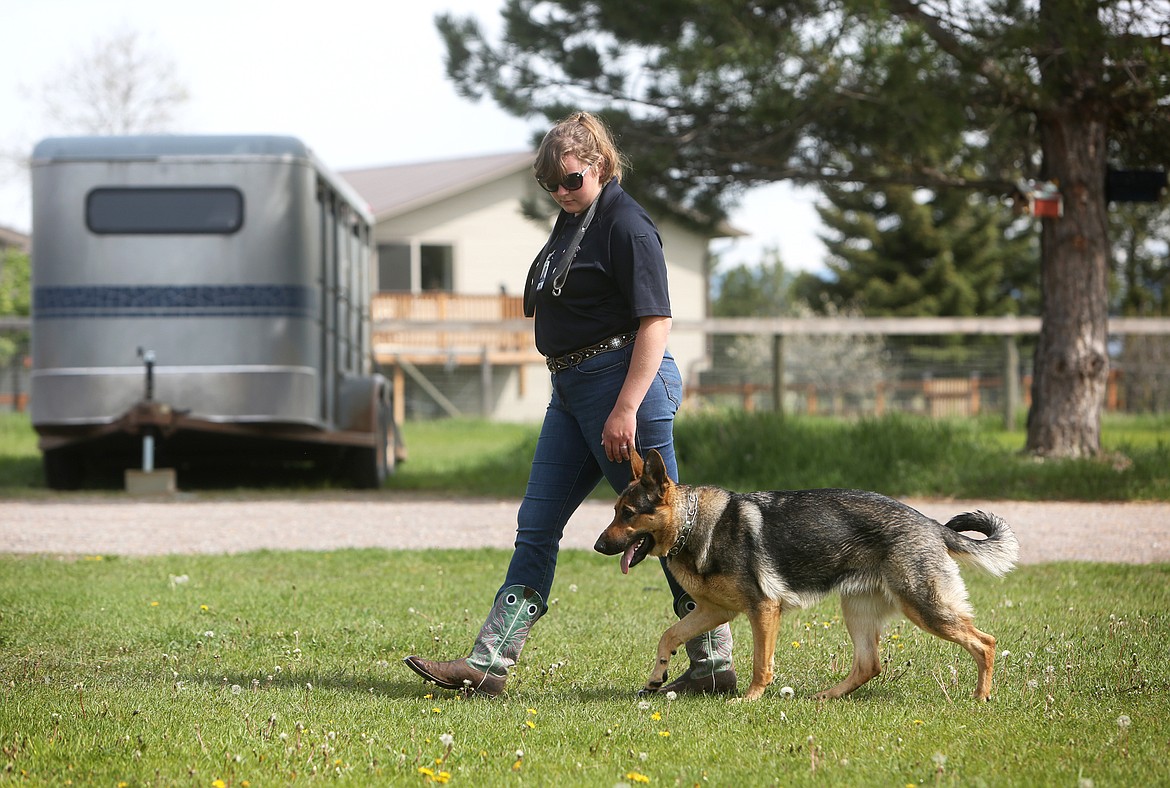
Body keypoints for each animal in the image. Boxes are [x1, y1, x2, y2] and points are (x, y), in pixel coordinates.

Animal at [594, 448, 1015, 701]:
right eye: (615, 511)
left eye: (628, 513)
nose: (598, 545)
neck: (692, 523)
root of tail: (930, 524)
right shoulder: (715, 611)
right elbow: (669, 635)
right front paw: (657, 676)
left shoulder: (763, 610)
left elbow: (761, 664)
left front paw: (750, 699)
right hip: (858, 610)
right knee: (869, 665)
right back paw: (825, 698)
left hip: (924, 607)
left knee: (985, 642)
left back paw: (981, 697)